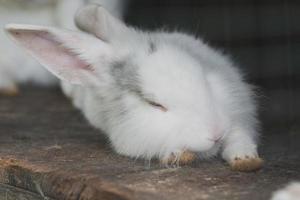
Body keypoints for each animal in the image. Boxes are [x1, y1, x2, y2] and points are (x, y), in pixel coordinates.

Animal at [4, 3, 262, 171]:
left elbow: (239, 136)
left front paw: (246, 160)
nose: (215, 132)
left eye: (202, 75)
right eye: (154, 104)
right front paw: (178, 155)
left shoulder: (237, 113)